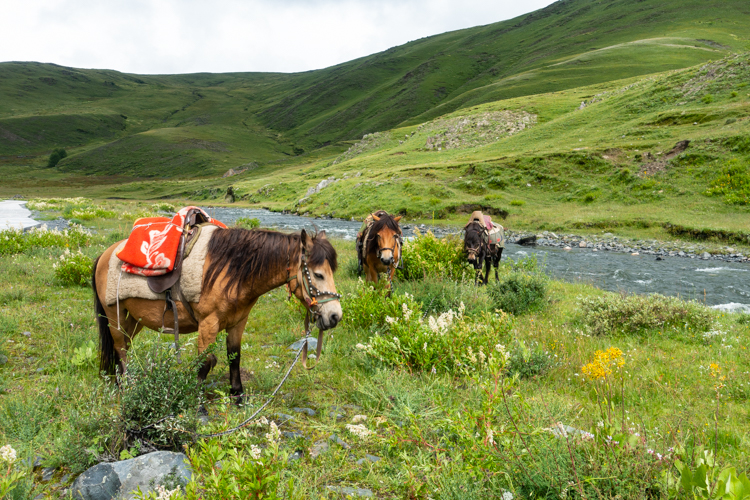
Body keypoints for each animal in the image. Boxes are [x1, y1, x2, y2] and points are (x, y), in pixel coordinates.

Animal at [91, 229, 344, 400]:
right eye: (318, 274)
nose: (335, 316)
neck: (232, 272)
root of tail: (104, 254)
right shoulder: (208, 324)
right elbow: (205, 362)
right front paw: (198, 402)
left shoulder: (238, 322)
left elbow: (234, 357)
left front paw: (237, 395)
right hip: (114, 315)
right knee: (120, 348)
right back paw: (126, 385)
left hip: (134, 319)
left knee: (124, 345)